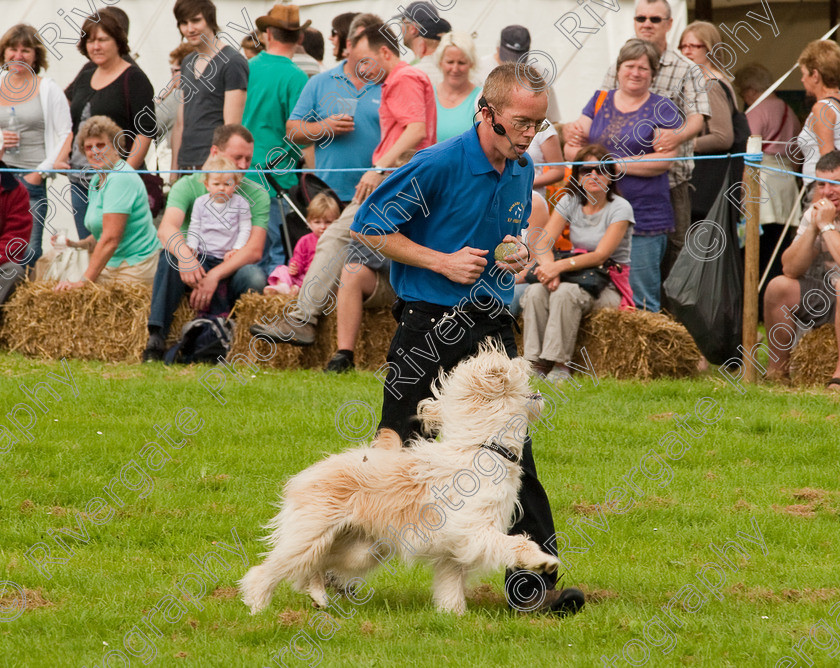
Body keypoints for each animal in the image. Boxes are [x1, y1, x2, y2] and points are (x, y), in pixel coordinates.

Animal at [240, 342, 556, 612]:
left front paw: (452, 616)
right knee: (270, 569)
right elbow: (515, 544)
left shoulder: (452, 549)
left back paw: (317, 596)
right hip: (310, 535)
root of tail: (308, 473)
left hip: (360, 549)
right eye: (511, 365)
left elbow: (450, 587)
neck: (483, 447)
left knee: (315, 566)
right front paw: (543, 561)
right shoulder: (473, 532)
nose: (525, 359)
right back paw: (258, 606)